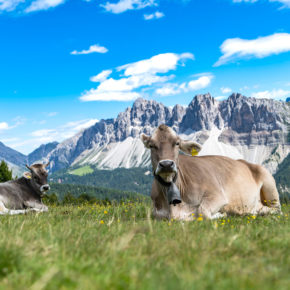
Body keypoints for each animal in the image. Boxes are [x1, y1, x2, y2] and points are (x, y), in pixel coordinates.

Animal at [140, 124, 280, 220]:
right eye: (151, 145)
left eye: (177, 143)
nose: (166, 164)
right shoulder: (156, 211)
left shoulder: (217, 195)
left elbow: (202, 211)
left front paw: (221, 214)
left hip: (269, 184)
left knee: (277, 209)